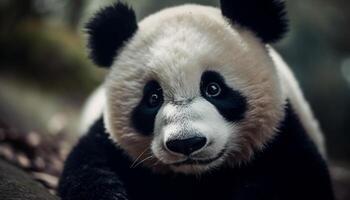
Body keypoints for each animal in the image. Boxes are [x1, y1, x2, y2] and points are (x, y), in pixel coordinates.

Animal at [58, 0, 334, 200]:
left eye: (213, 88)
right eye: (153, 98)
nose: (186, 143)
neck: (197, 177)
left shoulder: (279, 135)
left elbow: (297, 179)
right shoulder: (113, 145)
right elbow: (86, 169)